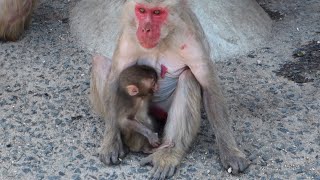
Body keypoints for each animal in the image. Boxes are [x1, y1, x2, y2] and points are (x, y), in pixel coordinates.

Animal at [89, 0, 250, 178]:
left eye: (157, 12)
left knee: (188, 77)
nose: (145, 29)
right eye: (142, 10)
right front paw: (111, 141)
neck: (163, 38)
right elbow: (115, 78)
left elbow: (209, 85)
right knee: (99, 62)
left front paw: (231, 152)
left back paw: (168, 152)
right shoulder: (128, 37)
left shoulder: (190, 39)